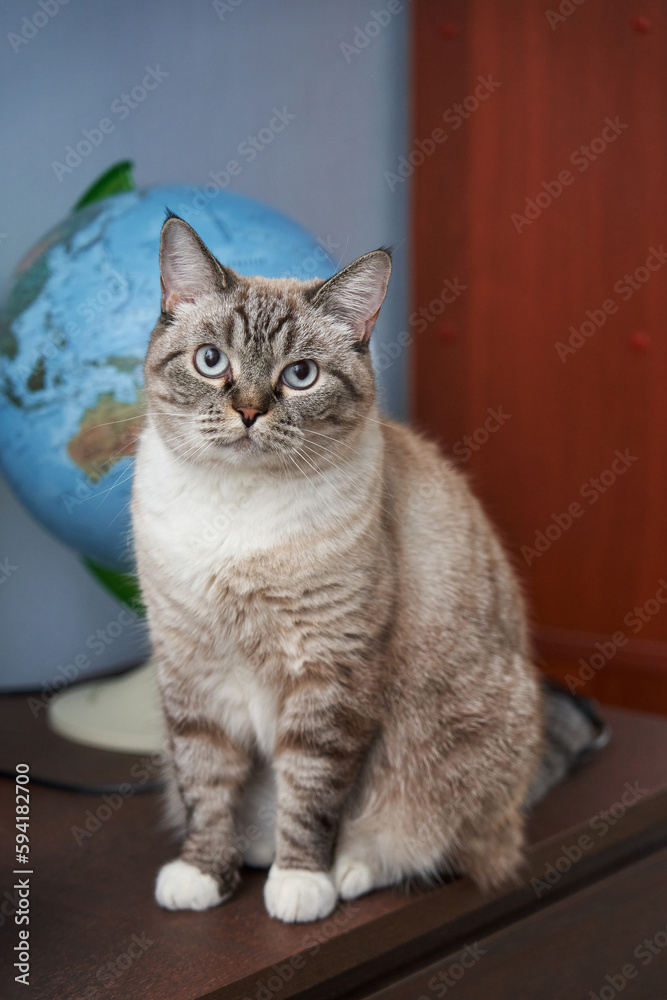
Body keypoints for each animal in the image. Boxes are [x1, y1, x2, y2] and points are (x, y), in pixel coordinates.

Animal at [130, 215, 560, 924]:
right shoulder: (193, 670)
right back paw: (253, 849)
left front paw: (301, 883)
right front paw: (203, 875)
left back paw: (349, 869)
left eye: (300, 375)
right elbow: (205, 785)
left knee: (437, 846)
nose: (250, 411)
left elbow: (311, 793)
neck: (237, 518)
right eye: (211, 362)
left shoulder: (330, 669)